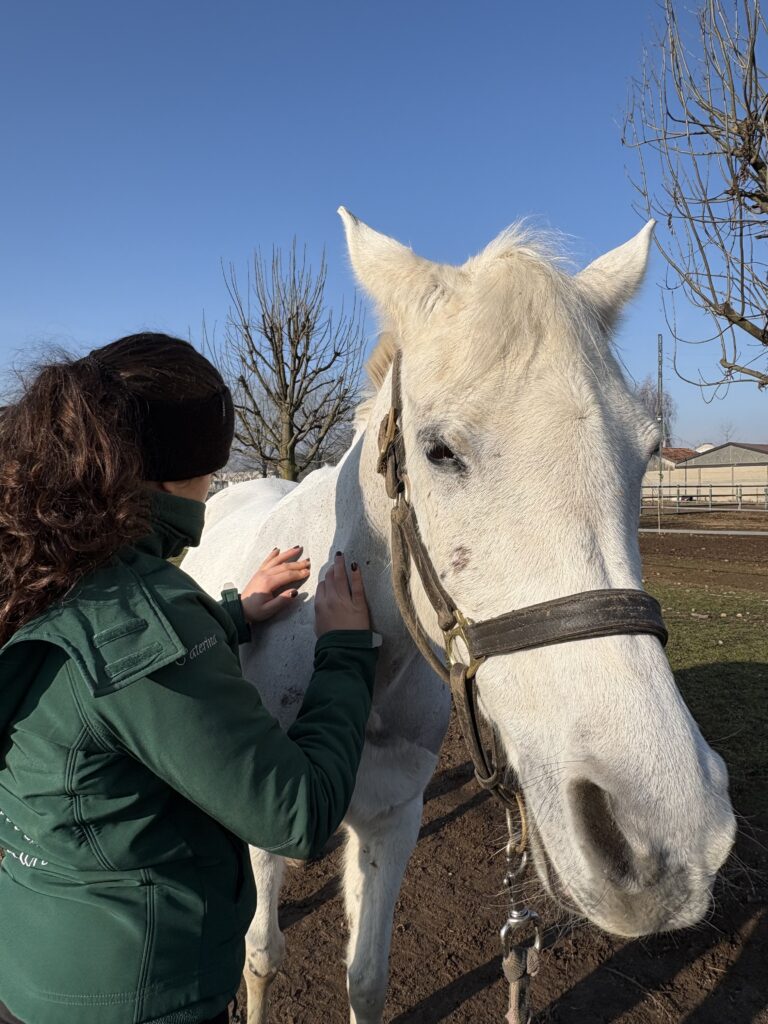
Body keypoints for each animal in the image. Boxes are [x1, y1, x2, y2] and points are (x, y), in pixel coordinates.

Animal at [182, 209, 736, 1024]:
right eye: (438, 451)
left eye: (648, 454)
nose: (661, 837)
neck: (357, 659)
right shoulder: (263, 827)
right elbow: (261, 954)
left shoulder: (391, 819)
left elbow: (366, 979)